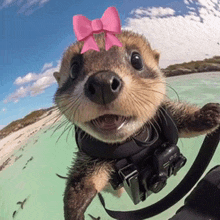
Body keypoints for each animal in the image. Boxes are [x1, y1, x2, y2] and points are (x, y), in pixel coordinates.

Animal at [53, 29, 220, 220]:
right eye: (74, 68)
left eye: (137, 59)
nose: (103, 82)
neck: (135, 146)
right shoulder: (91, 158)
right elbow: (82, 180)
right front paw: (75, 206)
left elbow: (182, 118)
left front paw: (209, 114)